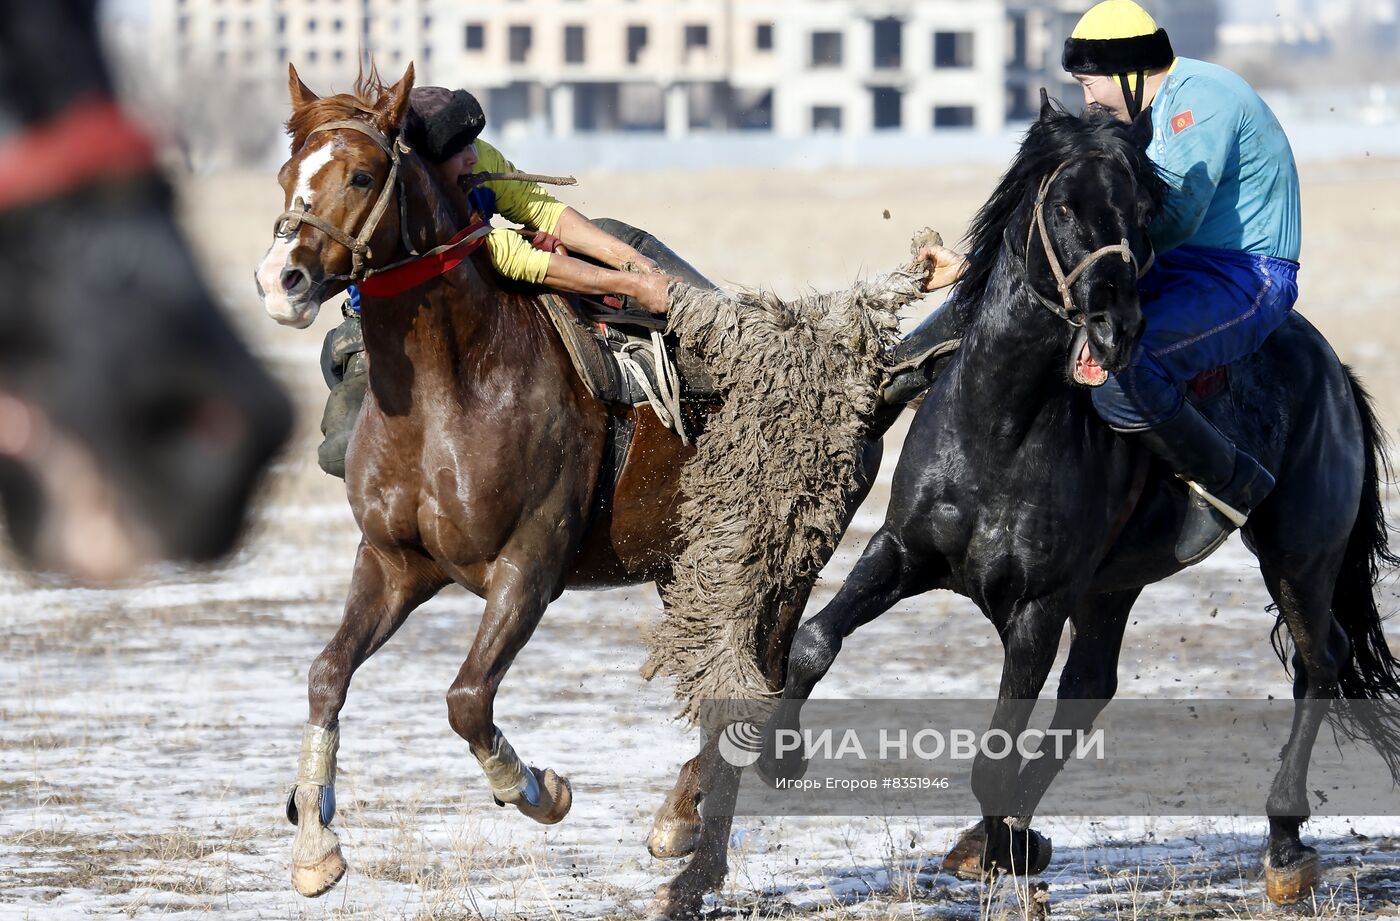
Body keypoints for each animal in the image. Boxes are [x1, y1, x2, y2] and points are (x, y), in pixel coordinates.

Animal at [257, 62, 879, 912]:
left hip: (777, 569)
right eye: (288, 172)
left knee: (749, 691)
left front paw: (538, 789)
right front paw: (316, 841)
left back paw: (689, 860)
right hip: (686, 571)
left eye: (359, 173)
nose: (279, 279)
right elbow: (327, 673)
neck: (454, 388)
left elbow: (466, 698)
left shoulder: (530, 566)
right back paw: (680, 818)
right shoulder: (393, 562)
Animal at [767, 96, 1400, 901]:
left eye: (1139, 211)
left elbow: (994, 757)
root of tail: (1332, 369)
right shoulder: (902, 550)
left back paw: (1285, 843)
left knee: (1319, 662)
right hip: (1114, 586)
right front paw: (779, 758)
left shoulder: (1039, 606)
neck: (999, 425)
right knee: (1092, 686)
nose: (1116, 324)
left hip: (1298, 558)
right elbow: (816, 641)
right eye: (1063, 205)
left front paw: (1005, 851)